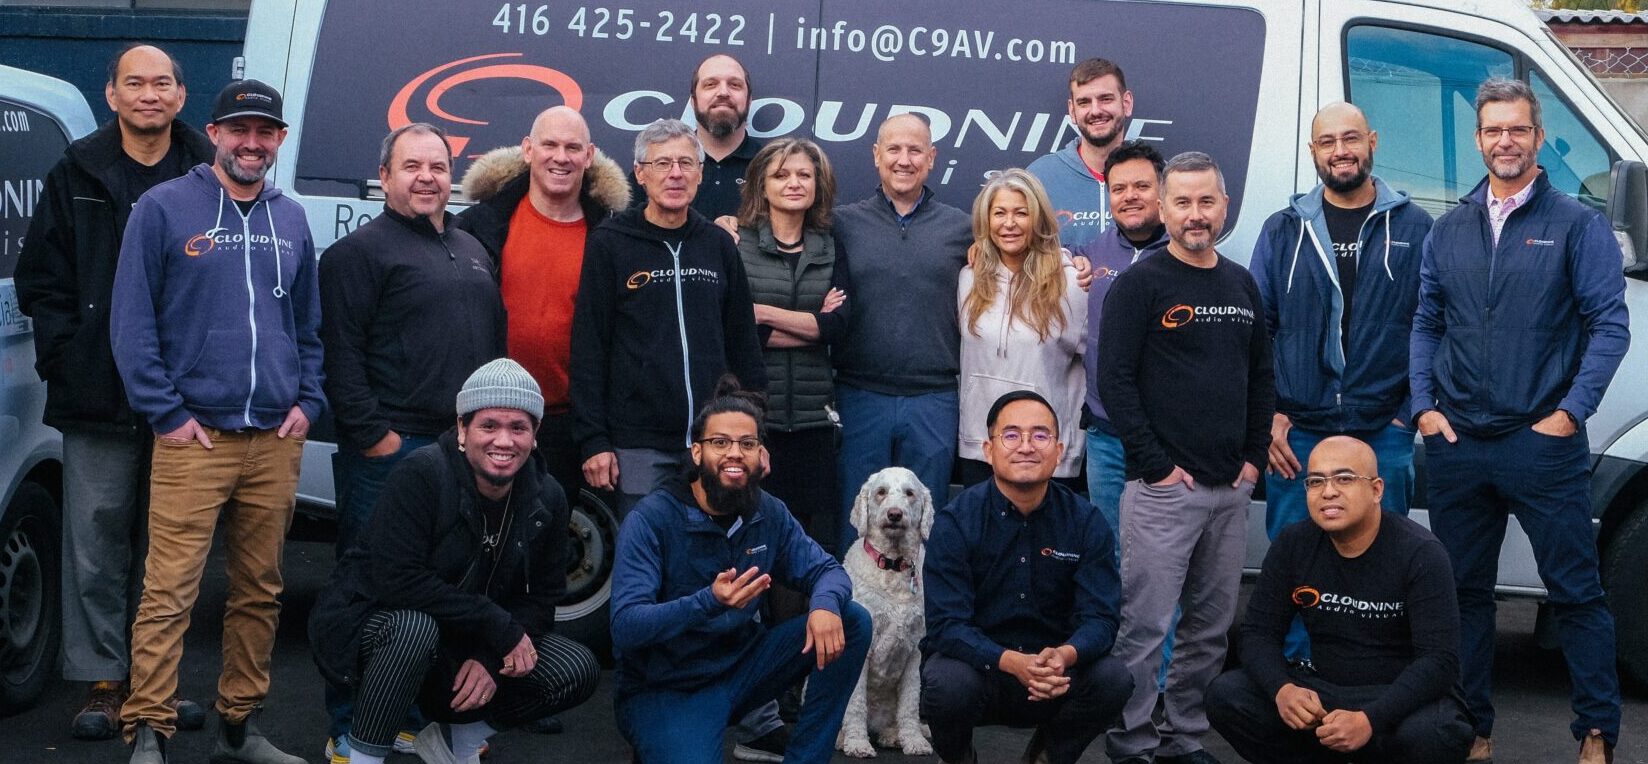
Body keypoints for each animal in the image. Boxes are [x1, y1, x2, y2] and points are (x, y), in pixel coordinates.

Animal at [843, 464, 936, 757]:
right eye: (881, 492)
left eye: (909, 493)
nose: (894, 514)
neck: (893, 566)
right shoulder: (860, 647)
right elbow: (855, 702)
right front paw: (857, 743)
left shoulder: (915, 651)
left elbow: (909, 704)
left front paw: (913, 740)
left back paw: (893, 735)